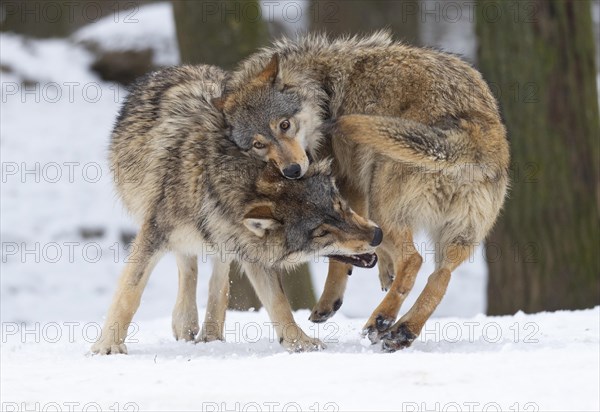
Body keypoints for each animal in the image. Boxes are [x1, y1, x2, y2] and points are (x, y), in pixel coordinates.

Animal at [90, 64, 380, 354]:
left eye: (340, 206)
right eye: (321, 233)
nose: (377, 236)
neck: (215, 183)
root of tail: (181, 67)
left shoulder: (250, 248)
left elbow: (278, 302)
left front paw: (300, 343)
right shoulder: (154, 233)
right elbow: (130, 293)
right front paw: (108, 347)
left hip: (224, 239)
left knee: (217, 281)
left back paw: (210, 334)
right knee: (187, 265)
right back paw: (186, 323)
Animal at [213, 33, 508, 350]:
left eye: (284, 124)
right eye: (258, 144)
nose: (292, 171)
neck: (321, 88)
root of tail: (472, 131)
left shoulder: (346, 186)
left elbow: (338, 256)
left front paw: (329, 302)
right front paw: (383, 272)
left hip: (385, 207)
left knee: (414, 261)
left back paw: (380, 320)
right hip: (455, 238)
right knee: (439, 278)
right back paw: (401, 332)